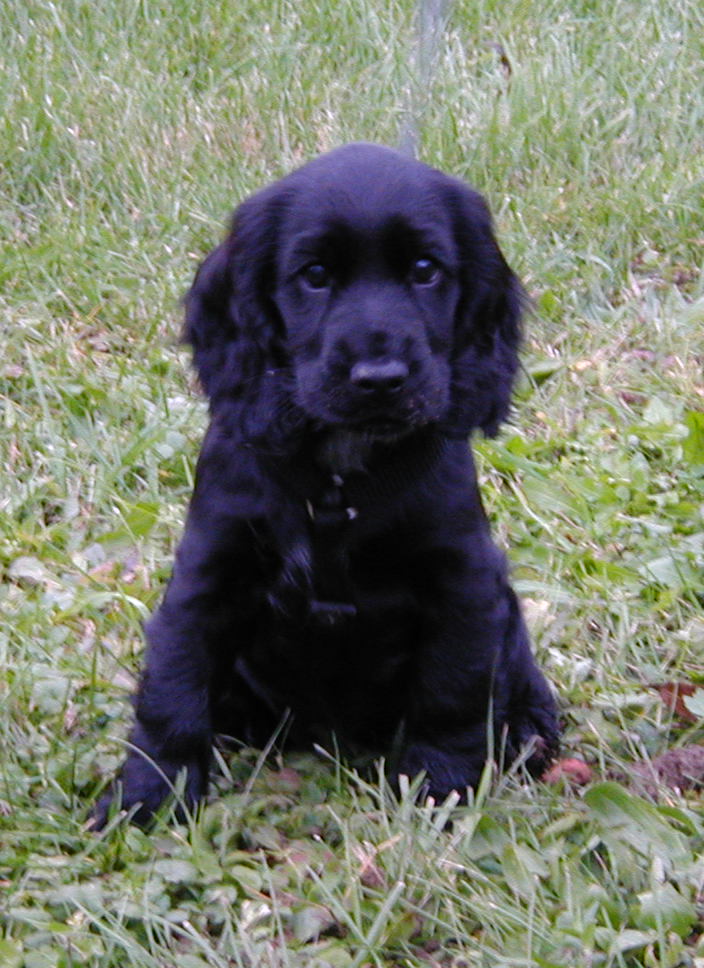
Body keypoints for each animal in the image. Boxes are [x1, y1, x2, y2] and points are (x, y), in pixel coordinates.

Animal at [96, 142, 560, 824]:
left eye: (426, 270)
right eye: (314, 275)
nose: (381, 378)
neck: (340, 473)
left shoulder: (463, 583)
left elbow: (451, 692)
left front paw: (441, 788)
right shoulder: (207, 576)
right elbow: (172, 691)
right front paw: (149, 795)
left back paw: (529, 728)